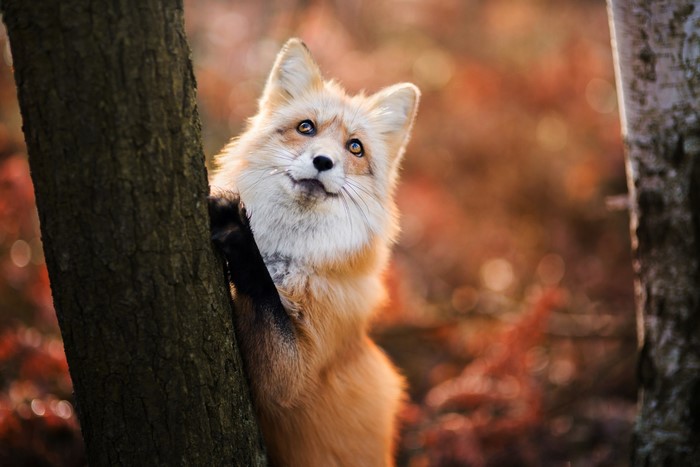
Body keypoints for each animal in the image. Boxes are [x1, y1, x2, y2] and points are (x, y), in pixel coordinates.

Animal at [208, 38, 420, 467]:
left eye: (355, 147)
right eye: (306, 127)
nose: (323, 161)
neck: (287, 259)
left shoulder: (292, 377)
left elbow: (265, 299)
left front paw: (240, 237)